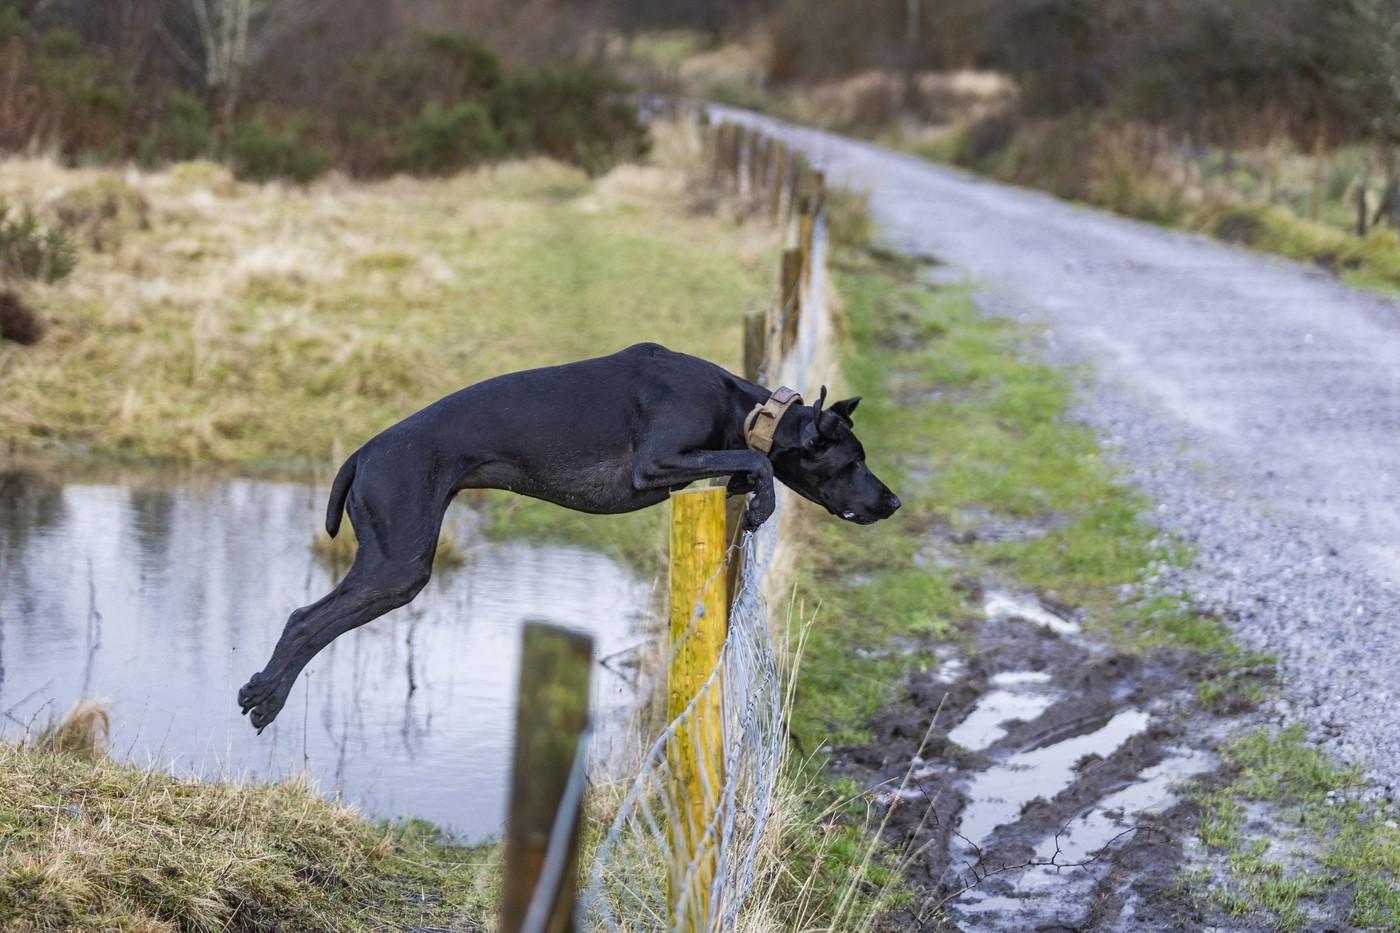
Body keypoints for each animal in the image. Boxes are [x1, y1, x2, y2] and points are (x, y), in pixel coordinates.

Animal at [238, 342, 900, 730]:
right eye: (852, 460)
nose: (892, 501)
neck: (745, 407)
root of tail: (362, 453)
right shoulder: (655, 462)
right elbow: (756, 461)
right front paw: (760, 496)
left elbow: (745, 463)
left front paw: (748, 490)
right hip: (397, 565)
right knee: (304, 622)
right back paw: (265, 695)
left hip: (392, 564)